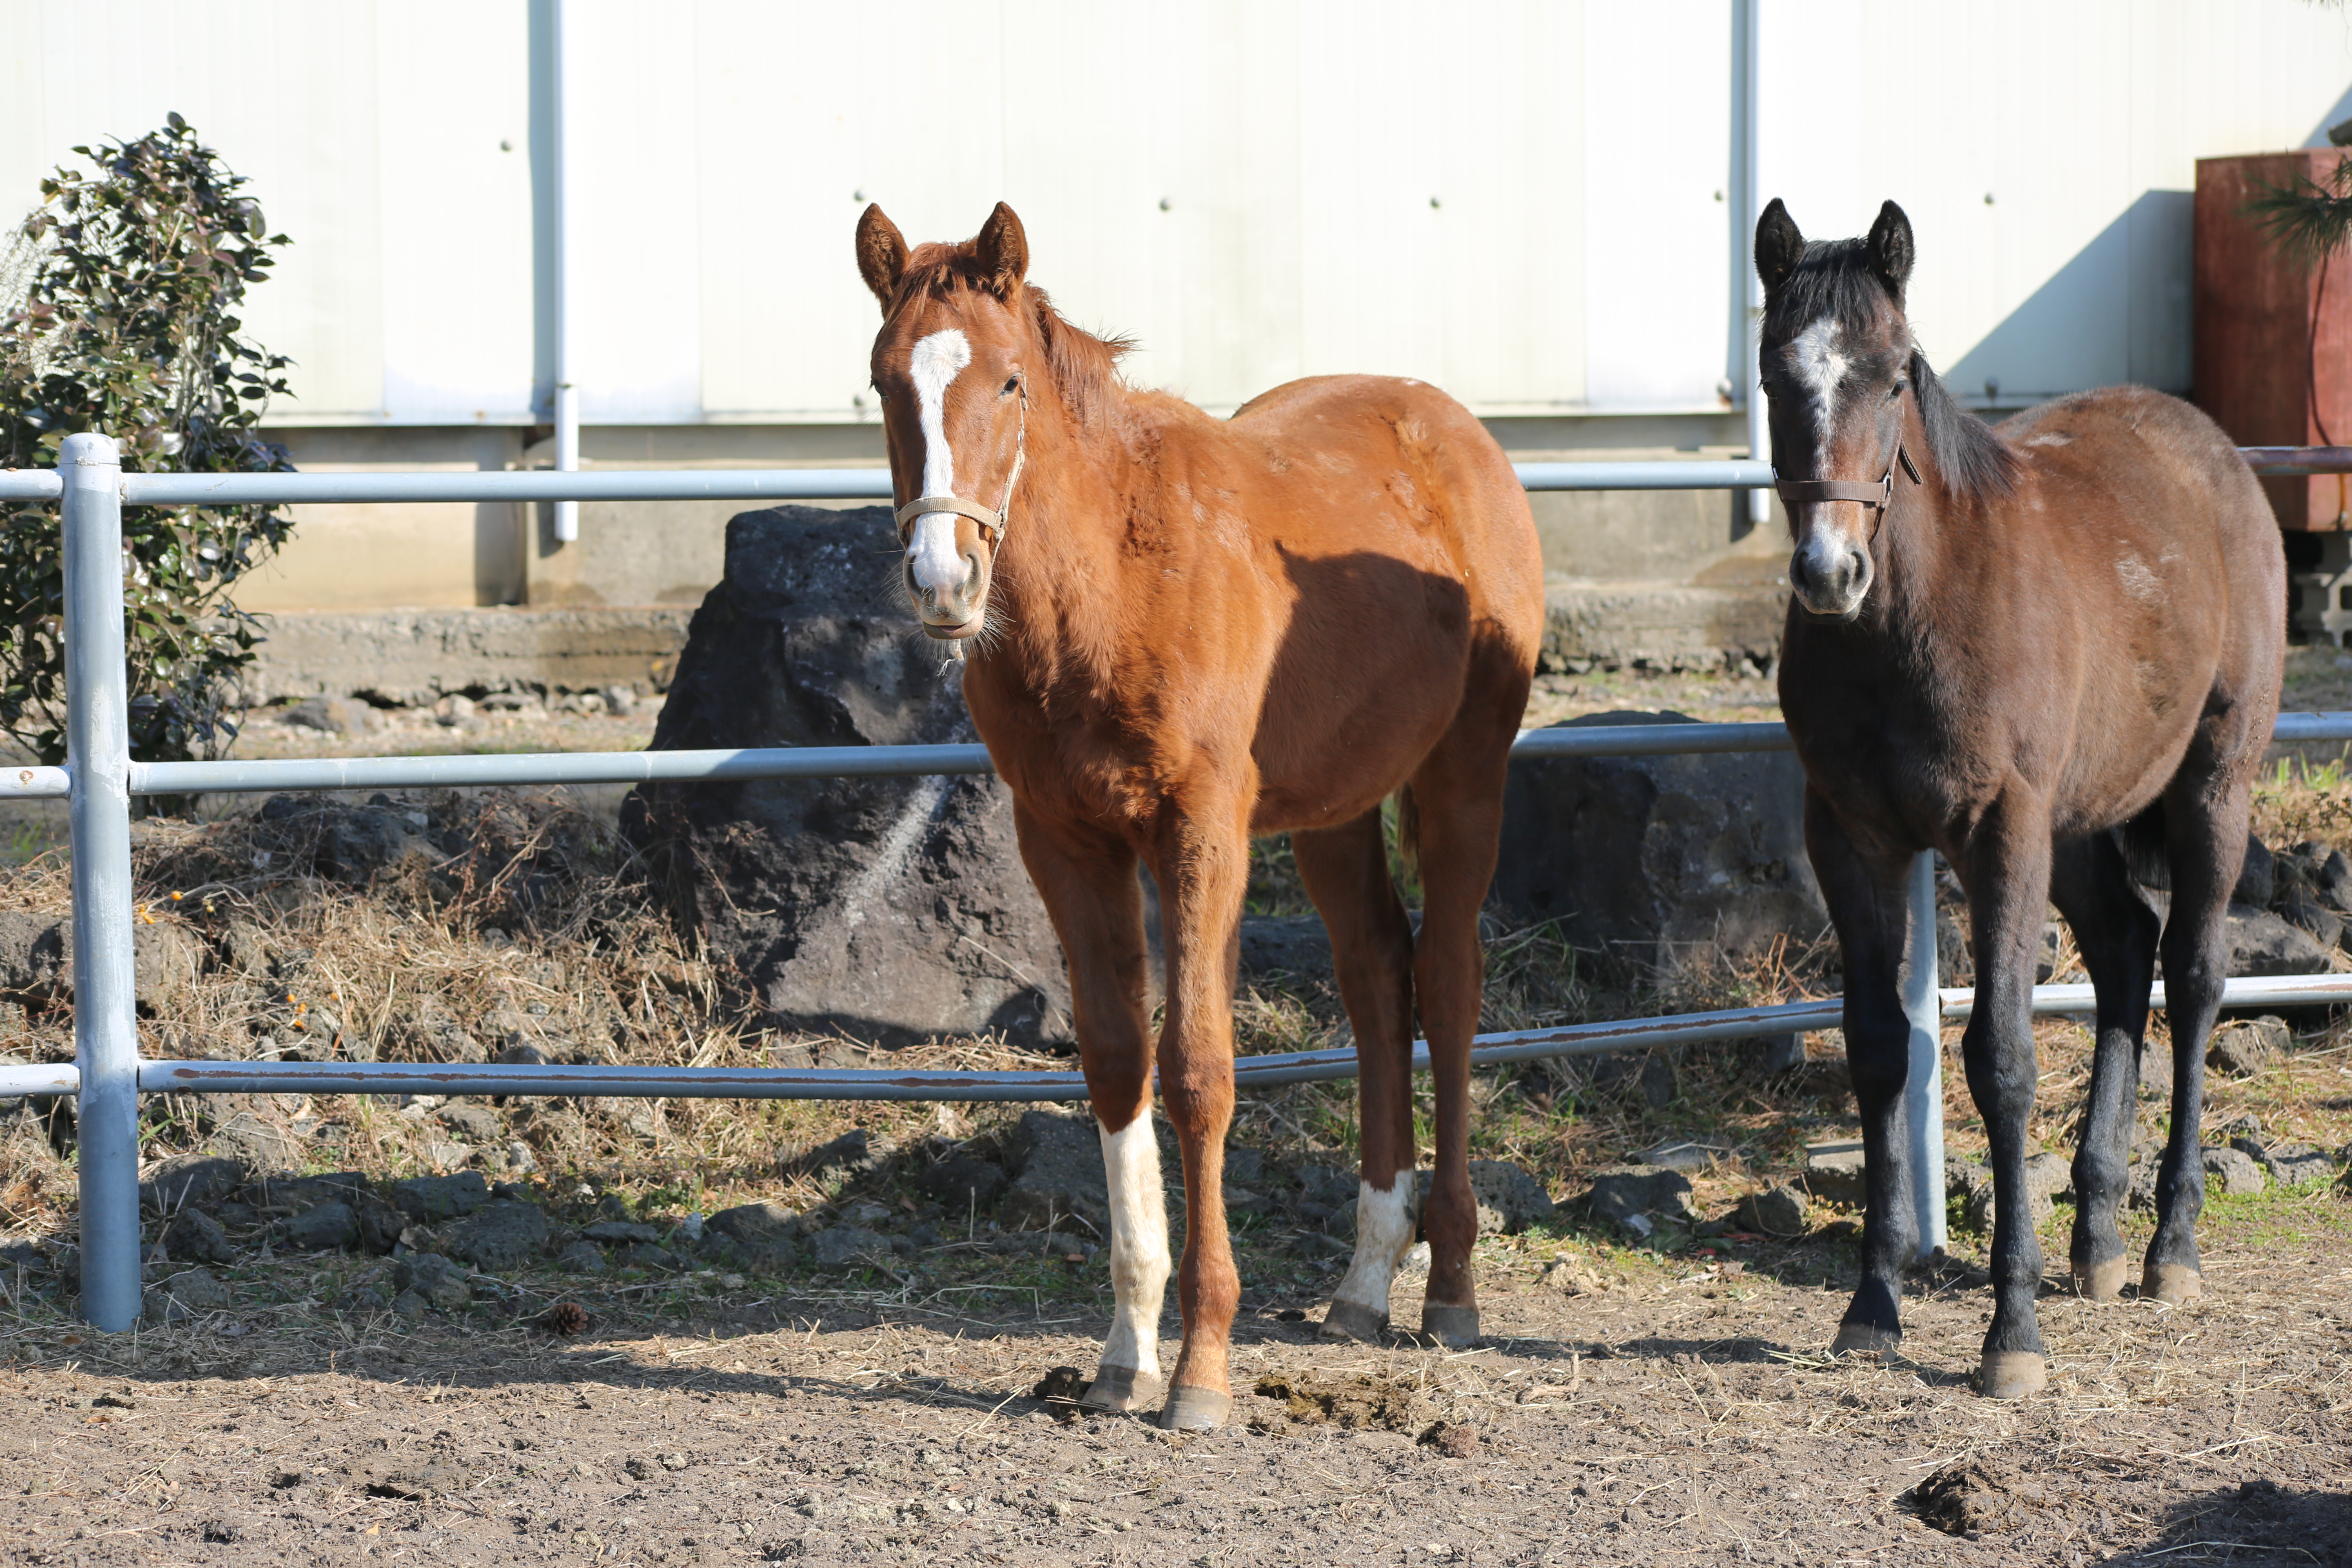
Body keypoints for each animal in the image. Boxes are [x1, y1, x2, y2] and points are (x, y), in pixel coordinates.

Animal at [861, 202, 1543, 1429]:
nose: (942, 580)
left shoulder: (1199, 836)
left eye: (1008, 381)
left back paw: (1450, 1289)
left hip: (1464, 776)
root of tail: (1455, 432)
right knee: (1377, 977)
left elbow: (1198, 1070)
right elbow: (1117, 1060)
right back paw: (1364, 1281)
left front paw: (1201, 1368)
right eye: (888, 381)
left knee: (1451, 983)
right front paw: (1123, 1353)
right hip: (1331, 810)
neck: (1111, 586)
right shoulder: (1066, 841)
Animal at [1759, 200, 2286, 1401]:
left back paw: (2168, 1248)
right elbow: (1877, 1048)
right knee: (2126, 950)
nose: (1827, 572)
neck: (1912, 617)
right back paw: (2094, 1239)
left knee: (2192, 976)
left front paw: (2011, 1334)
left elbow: (1998, 1062)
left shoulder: (1999, 833)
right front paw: (1872, 1306)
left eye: (1893, 377)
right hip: (2083, 821)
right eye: (1772, 373)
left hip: (2212, 787)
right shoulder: (1850, 835)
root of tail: (2212, 451)